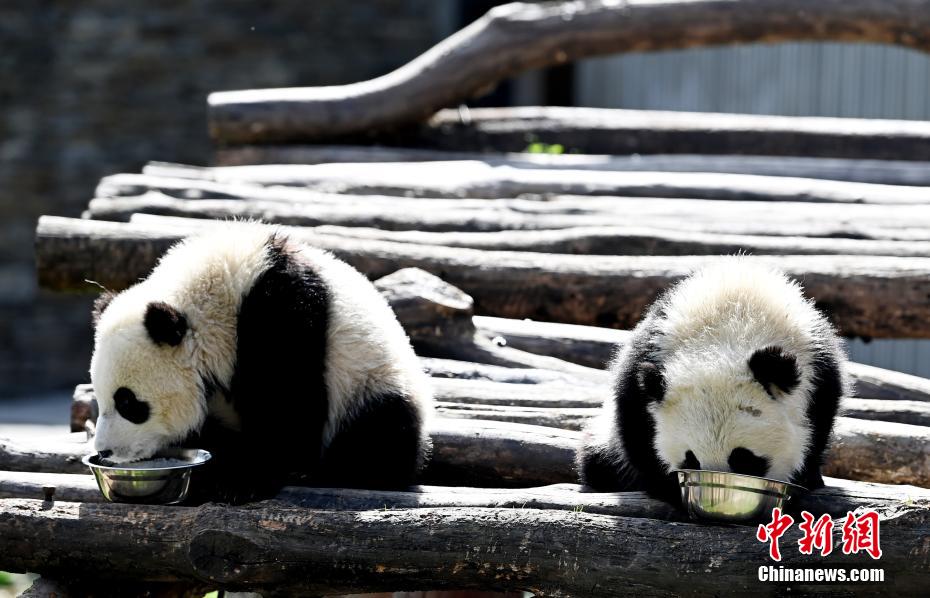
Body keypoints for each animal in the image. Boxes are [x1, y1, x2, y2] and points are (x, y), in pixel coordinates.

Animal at [90, 223, 432, 504]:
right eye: (100, 399)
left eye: (129, 403)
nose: (105, 451)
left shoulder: (279, 315)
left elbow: (287, 402)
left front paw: (245, 481)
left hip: (369, 381)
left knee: (380, 434)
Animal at [580, 260, 848, 504]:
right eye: (690, 459)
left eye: (744, 459)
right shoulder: (650, 353)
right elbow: (636, 427)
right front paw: (668, 488)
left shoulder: (818, 365)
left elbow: (818, 425)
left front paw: (804, 478)